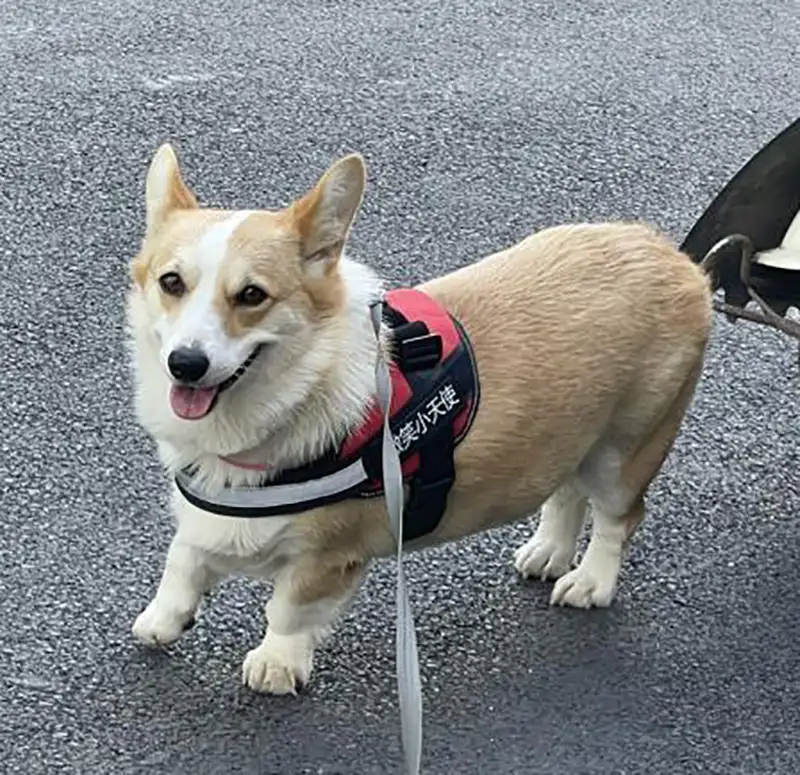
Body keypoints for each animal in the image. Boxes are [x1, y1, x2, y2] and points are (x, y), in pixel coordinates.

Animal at [130, 147, 712, 696]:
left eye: (252, 295)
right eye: (171, 283)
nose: (185, 363)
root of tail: (672, 255)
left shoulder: (326, 556)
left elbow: (289, 609)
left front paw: (276, 664)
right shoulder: (207, 517)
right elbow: (183, 558)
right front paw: (164, 618)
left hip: (625, 451)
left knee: (618, 517)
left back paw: (590, 581)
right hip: (571, 435)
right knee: (567, 490)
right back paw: (549, 551)